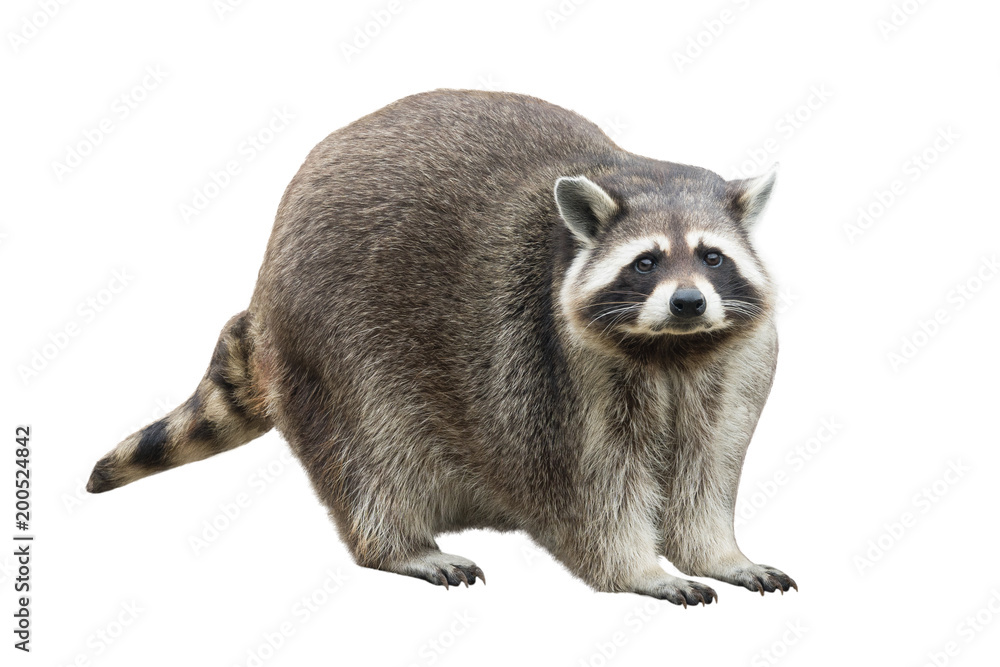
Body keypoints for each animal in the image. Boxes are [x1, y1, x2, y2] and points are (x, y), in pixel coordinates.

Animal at [88, 89, 795, 605]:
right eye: (646, 262)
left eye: (711, 256)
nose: (688, 303)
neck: (671, 352)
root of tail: (263, 285)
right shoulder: (546, 373)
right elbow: (588, 493)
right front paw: (640, 571)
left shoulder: (734, 368)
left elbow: (707, 472)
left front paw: (719, 554)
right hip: (329, 342)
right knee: (369, 457)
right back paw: (398, 545)